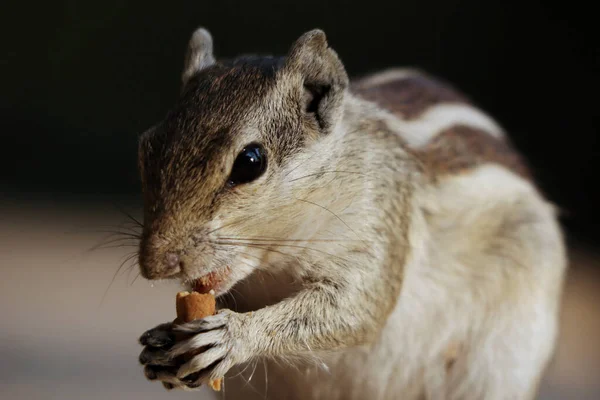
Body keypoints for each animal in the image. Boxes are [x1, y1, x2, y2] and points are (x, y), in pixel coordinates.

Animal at [137, 28, 568, 400]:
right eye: (146, 147)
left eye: (250, 162)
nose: (155, 266)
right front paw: (161, 342)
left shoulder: (380, 220)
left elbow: (358, 307)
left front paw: (233, 335)